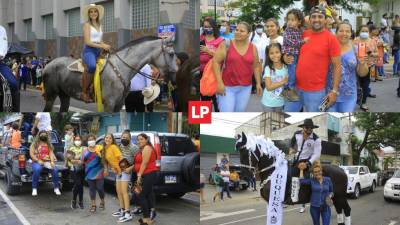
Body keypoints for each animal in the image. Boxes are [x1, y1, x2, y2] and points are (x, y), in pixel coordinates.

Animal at [41, 36, 177, 112]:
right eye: (171, 54)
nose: (174, 77)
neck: (121, 68)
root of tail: (47, 65)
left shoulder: (118, 104)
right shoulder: (109, 104)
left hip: (64, 95)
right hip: (51, 95)